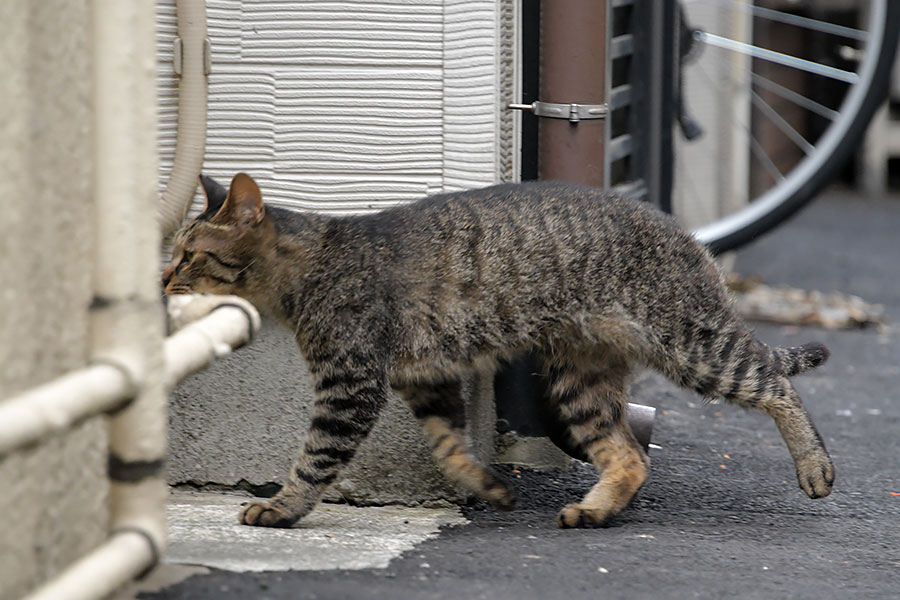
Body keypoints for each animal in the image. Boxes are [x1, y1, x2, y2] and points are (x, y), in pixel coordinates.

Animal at [163, 171, 836, 528]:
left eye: (188, 255)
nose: (162, 278)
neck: (310, 270)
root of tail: (689, 235)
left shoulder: (350, 382)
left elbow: (315, 457)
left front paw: (282, 507)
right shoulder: (423, 381)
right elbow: (449, 447)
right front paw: (487, 487)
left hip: (692, 344)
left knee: (775, 382)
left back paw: (814, 466)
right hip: (579, 380)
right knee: (628, 456)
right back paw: (593, 510)